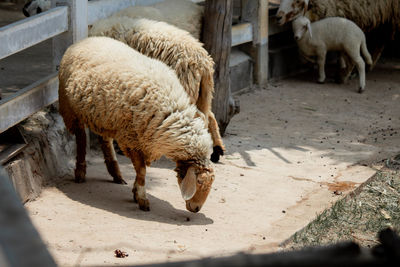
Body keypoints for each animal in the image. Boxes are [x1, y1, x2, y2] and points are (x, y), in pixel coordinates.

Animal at [57, 37, 216, 214]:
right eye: (199, 182)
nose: (196, 208)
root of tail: (85, 40)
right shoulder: (131, 139)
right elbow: (142, 171)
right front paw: (142, 198)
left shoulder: (144, 142)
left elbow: (142, 170)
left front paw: (135, 192)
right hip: (71, 108)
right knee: (81, 139)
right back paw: (80, 172)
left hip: (104, 116)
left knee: (104, 141)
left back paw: (116, 174)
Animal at [89, 16, 225, 163]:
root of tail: (204, 63)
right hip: (202, 93)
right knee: (209, 115)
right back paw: (216, 150)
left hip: (185, 88)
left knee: (199, 118)